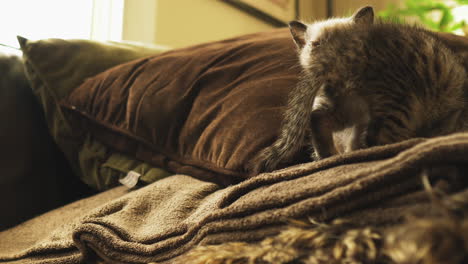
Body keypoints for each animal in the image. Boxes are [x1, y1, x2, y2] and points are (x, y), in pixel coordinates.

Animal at [252, 5, 468, 173]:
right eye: (316, 44)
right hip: (399, 100)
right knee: (380, 139)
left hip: (351, 110)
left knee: (319, 119)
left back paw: (330, 155)